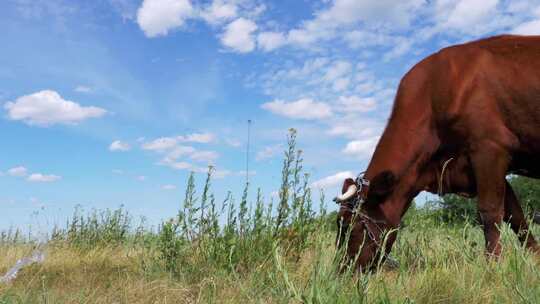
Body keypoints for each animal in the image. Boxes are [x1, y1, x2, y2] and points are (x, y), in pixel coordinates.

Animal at [340, 35, 540, 270]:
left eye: (352, 227)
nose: (340, 270)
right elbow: (516, 216)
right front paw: (535, 259)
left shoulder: (490, 148)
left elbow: (489, 211)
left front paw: (493, 265)